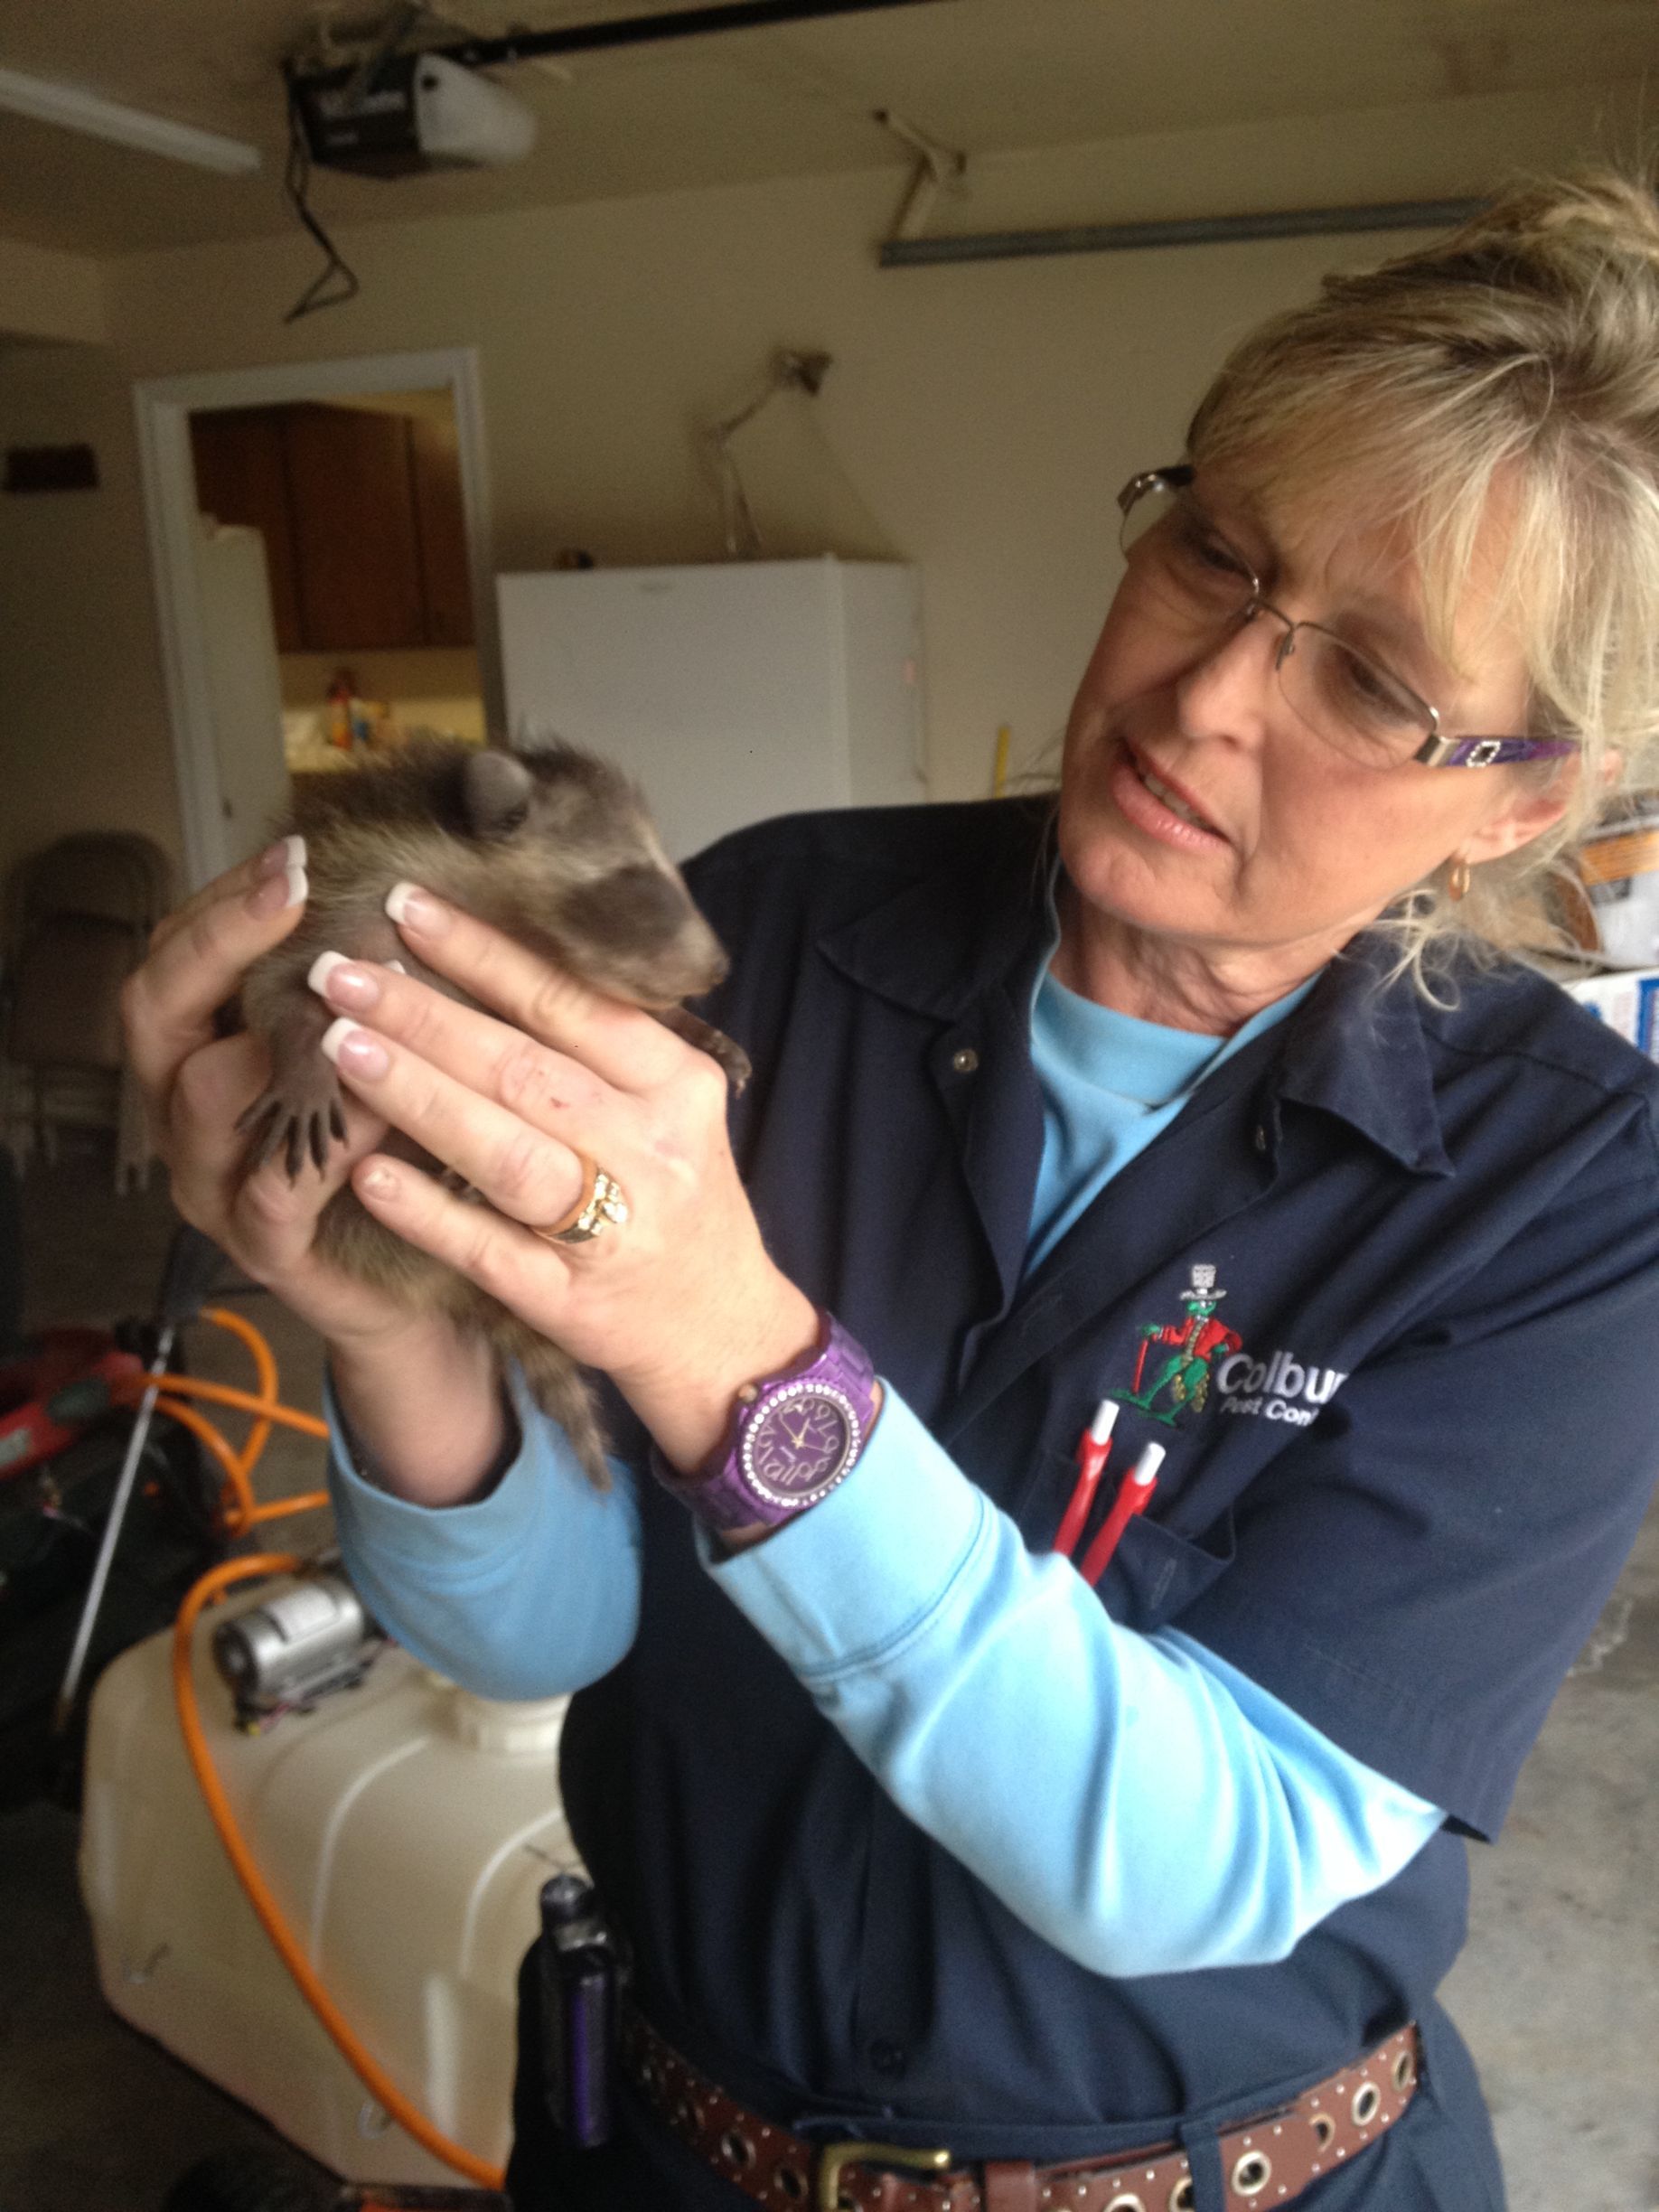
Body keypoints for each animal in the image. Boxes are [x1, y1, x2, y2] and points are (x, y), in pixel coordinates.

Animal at [239, 743, 747, 1486]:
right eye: (635, 879)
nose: (717, 969)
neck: (506, 914)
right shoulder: (345, 891)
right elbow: (270, 984)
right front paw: (304, 1055)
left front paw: (690, 1027)